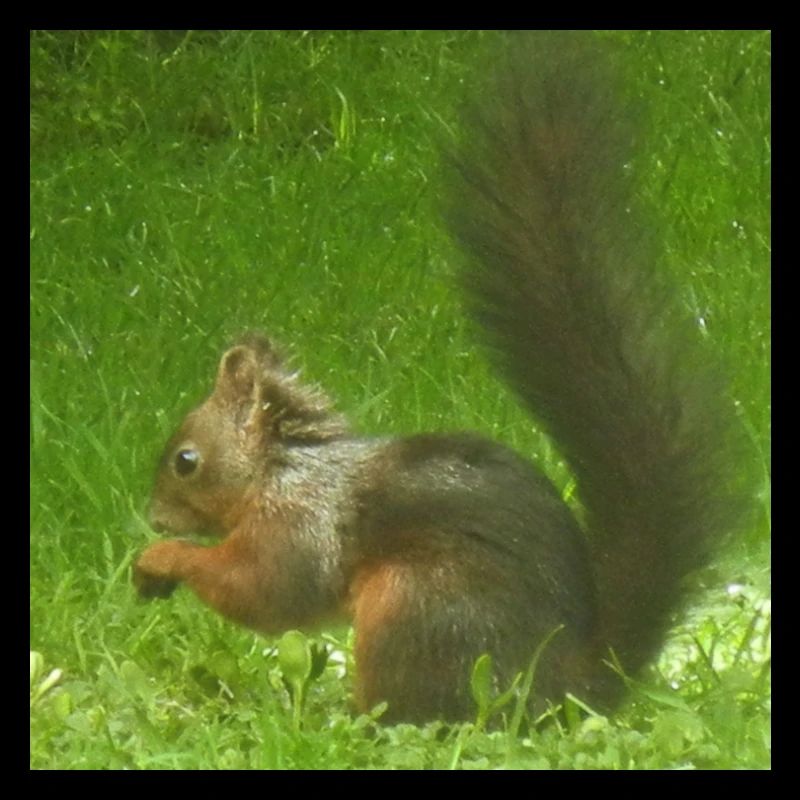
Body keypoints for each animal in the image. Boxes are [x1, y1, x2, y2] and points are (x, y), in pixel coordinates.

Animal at [133, 32, 751, 724]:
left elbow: (266, 592)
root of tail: (565, 689)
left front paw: (165, 558)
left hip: (415, 608)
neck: (279, 468)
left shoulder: (298, 527)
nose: (155, 518)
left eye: (186, 460)